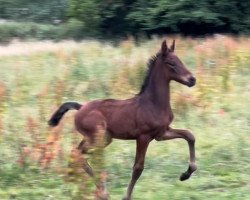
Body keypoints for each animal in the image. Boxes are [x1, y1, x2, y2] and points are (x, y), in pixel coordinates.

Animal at [48, 39, 197, 199]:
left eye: (180, 60)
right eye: (171, 63)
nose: (192, 80)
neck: (153, 103)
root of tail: (80, 107)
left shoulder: (161, 133)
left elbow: (189, 135)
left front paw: (186, 174)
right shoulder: (143, 137)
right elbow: (138, 167)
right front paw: (127, 196)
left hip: (100, 138)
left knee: (77, 154)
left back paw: (77, 186)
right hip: (99, 138)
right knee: (77, 154)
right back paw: (95, 190)